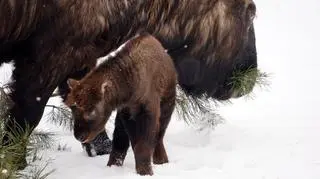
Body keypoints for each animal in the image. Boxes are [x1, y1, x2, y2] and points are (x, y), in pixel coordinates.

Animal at [0, 0, 258, 164]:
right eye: (251, 13)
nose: (249, 77)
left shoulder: (79, 60)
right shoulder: (46, 61)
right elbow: (24, 122)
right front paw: (15, 164)